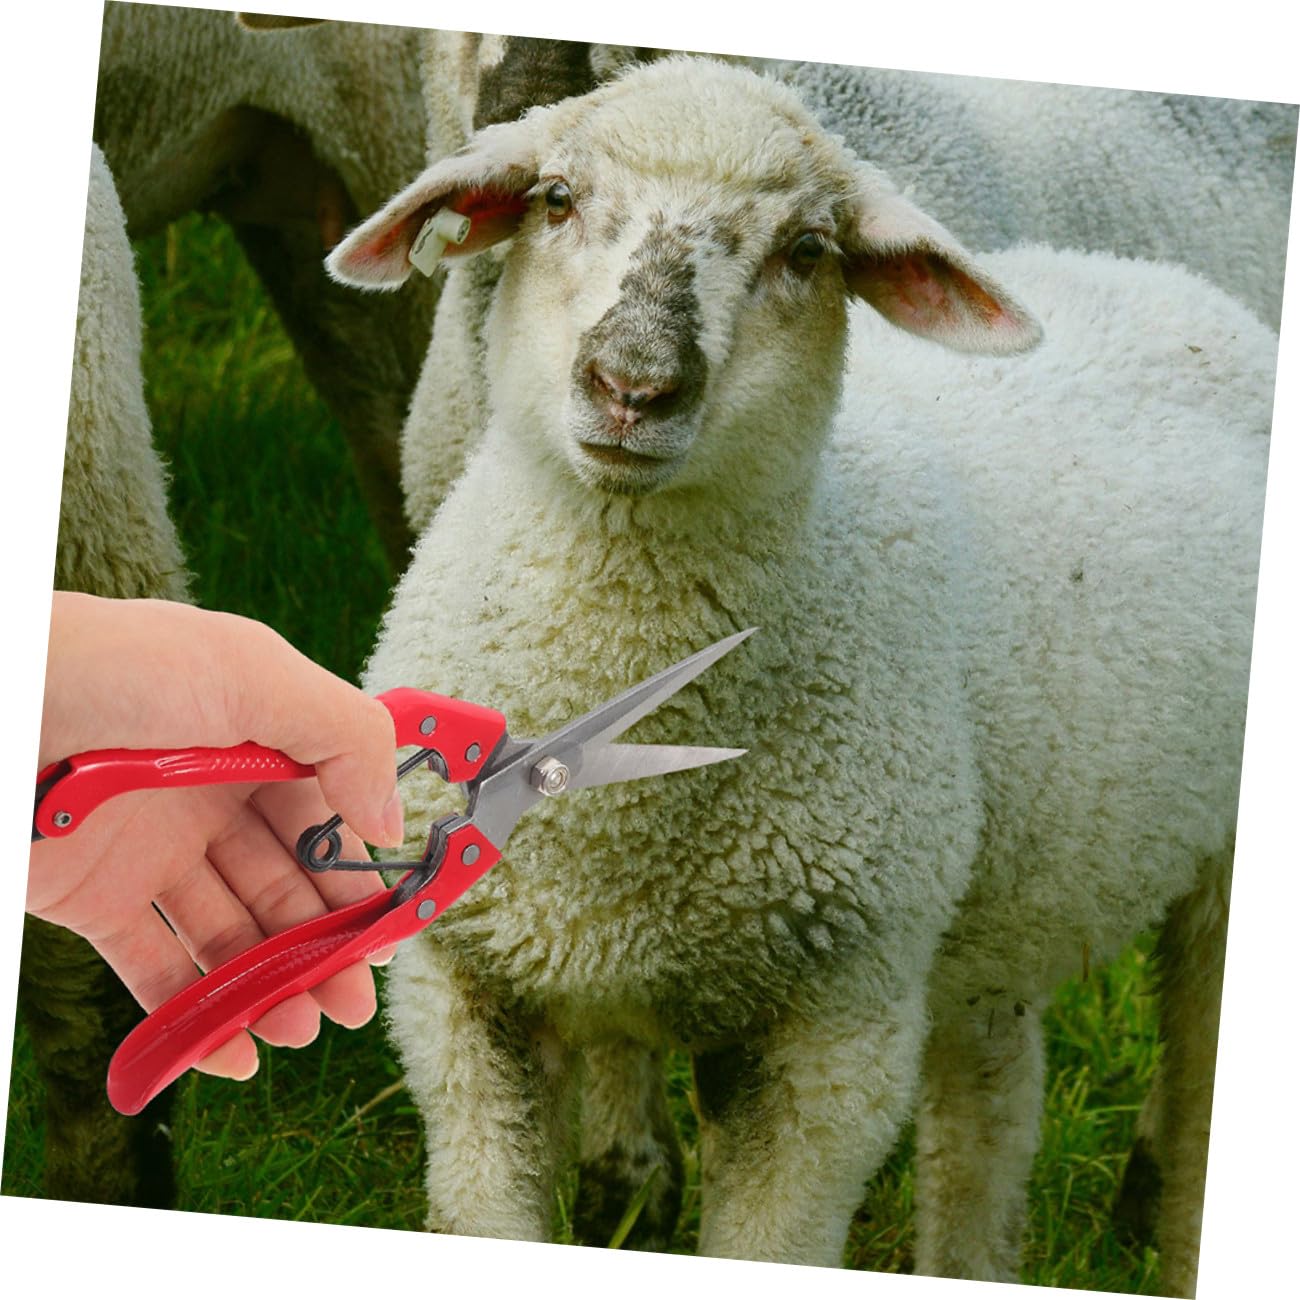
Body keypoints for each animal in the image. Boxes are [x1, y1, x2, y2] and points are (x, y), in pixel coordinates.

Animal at [327, 57, 1275, 1289]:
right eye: (556, 199)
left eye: (808, 250)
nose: (634, 385)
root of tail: (1166, 286)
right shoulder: (461, 994)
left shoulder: (832, 1038)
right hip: (986, 903)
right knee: (988, 1101)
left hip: (1195, 882)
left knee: (1194, 1091)